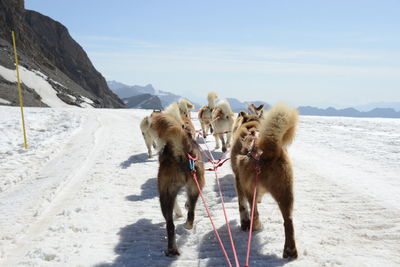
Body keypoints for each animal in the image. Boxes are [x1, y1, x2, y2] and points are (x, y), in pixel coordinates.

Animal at [151, 111, 206, 258]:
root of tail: (182, 153)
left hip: (165, 195)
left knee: (170, 225)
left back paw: (171, 249)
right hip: (195, 188)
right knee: (191, 213)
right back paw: (186, 227)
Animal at [230, 104, 298, 260]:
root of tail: (268, 151)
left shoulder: (238, 180)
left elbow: (242, 206)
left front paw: (244, 223)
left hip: (250, 190)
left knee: (254, 213)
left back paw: (255, 226)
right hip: (285, 193)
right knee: (288, 221)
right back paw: (290, 251)